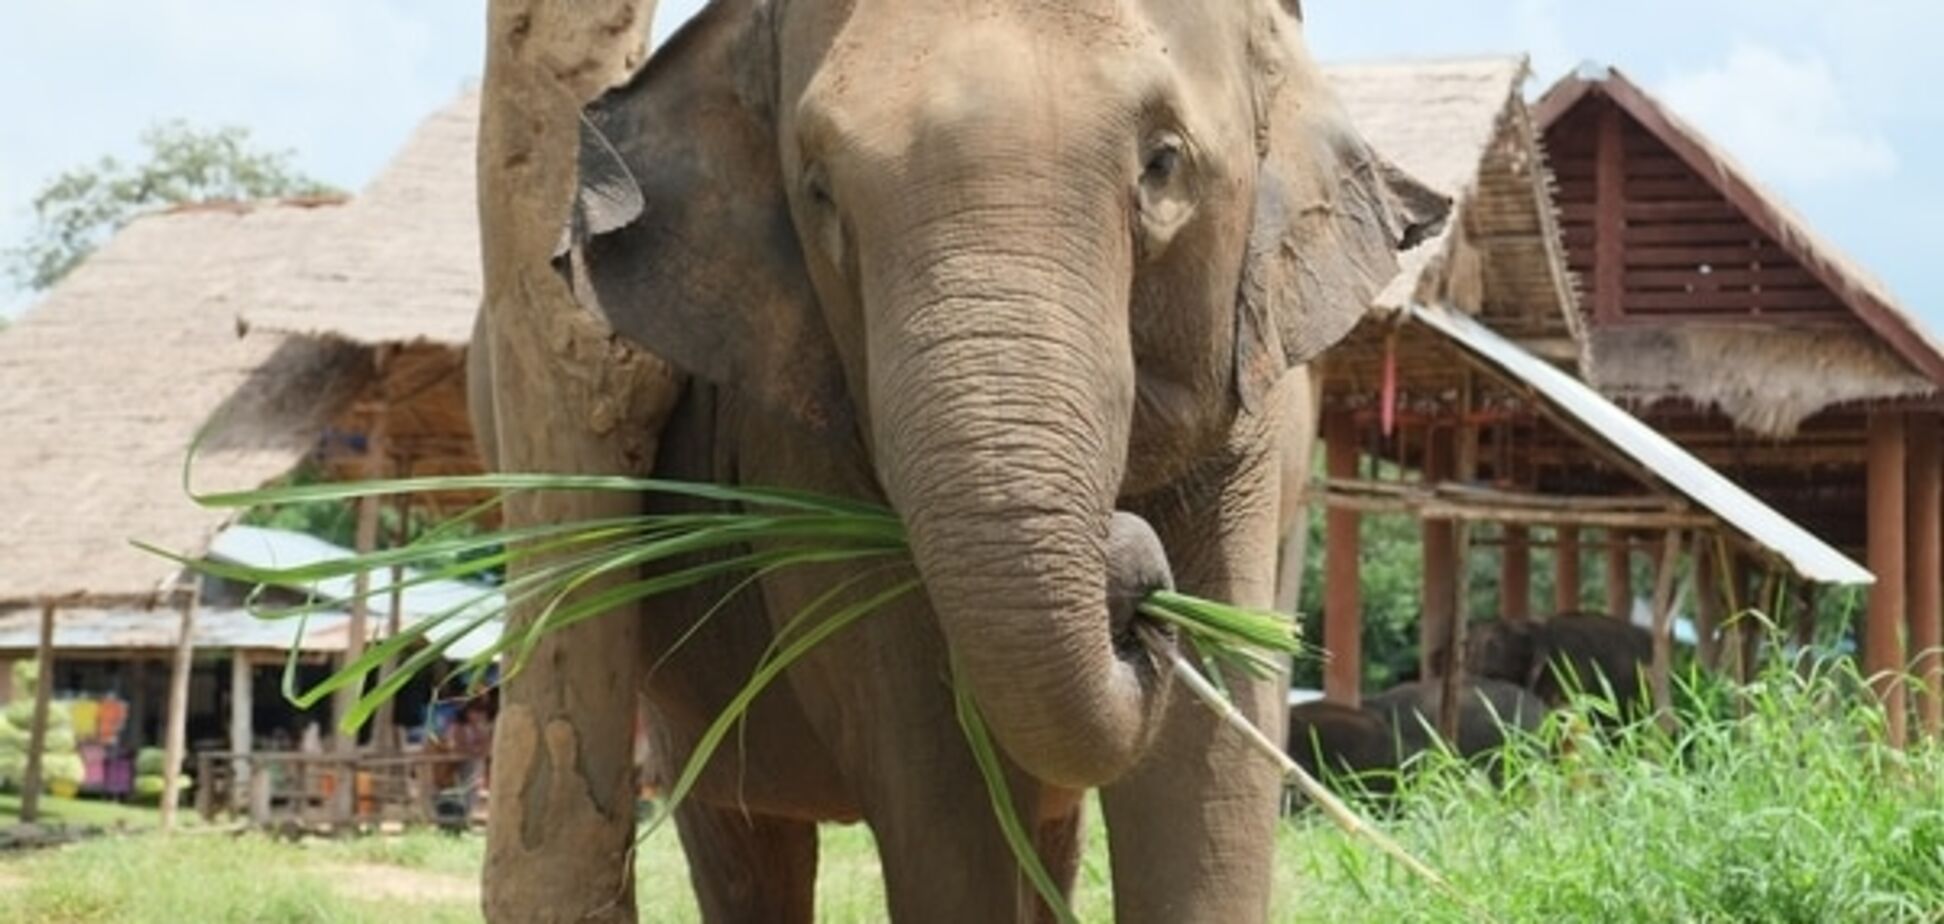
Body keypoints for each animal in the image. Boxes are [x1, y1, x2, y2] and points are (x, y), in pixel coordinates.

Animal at [472, 0, 1446, 922]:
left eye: (1164, 163)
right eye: (819, 191)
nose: (1126, 575)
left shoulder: (1255, 416)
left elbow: (1213, 753)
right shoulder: (802, 445)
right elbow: (933, 771)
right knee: (743, 840)